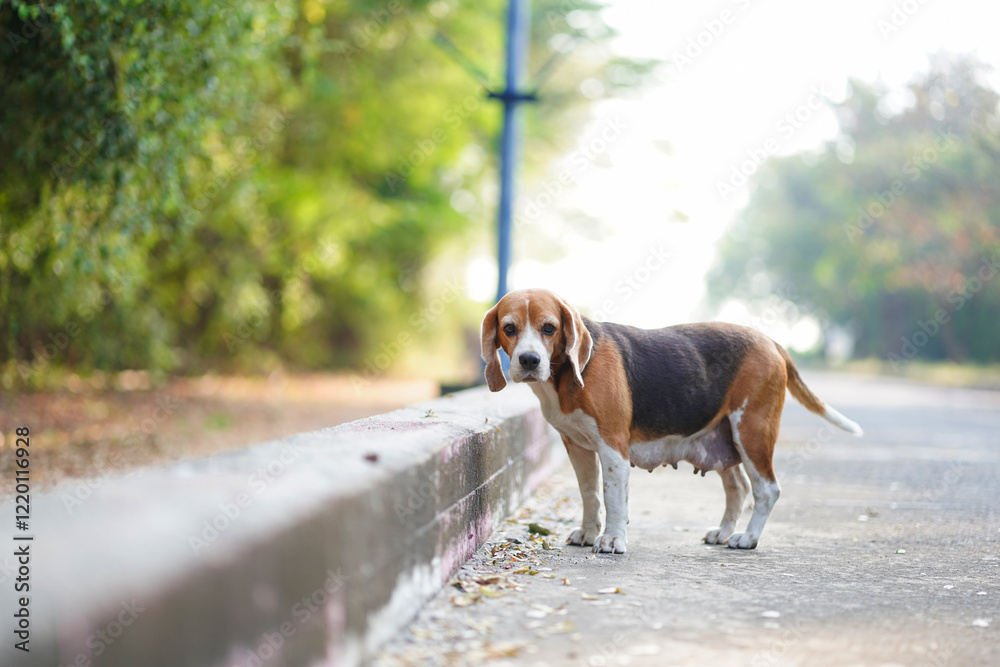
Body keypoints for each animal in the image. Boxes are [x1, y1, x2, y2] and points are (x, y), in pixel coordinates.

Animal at [480, 288, 864, 552]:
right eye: (509, 328)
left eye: (549, 328)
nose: (529, 361)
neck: (566, 376)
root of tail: (770, 340)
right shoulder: (578, 446)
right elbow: (590, 494)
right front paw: (589, 532)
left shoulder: (613, 448)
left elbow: (613, 497)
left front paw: (612, 539)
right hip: (724, 439)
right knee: (738, 488)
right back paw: (723, 532)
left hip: (752, 432)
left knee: (767, 489)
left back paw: (747, 538)